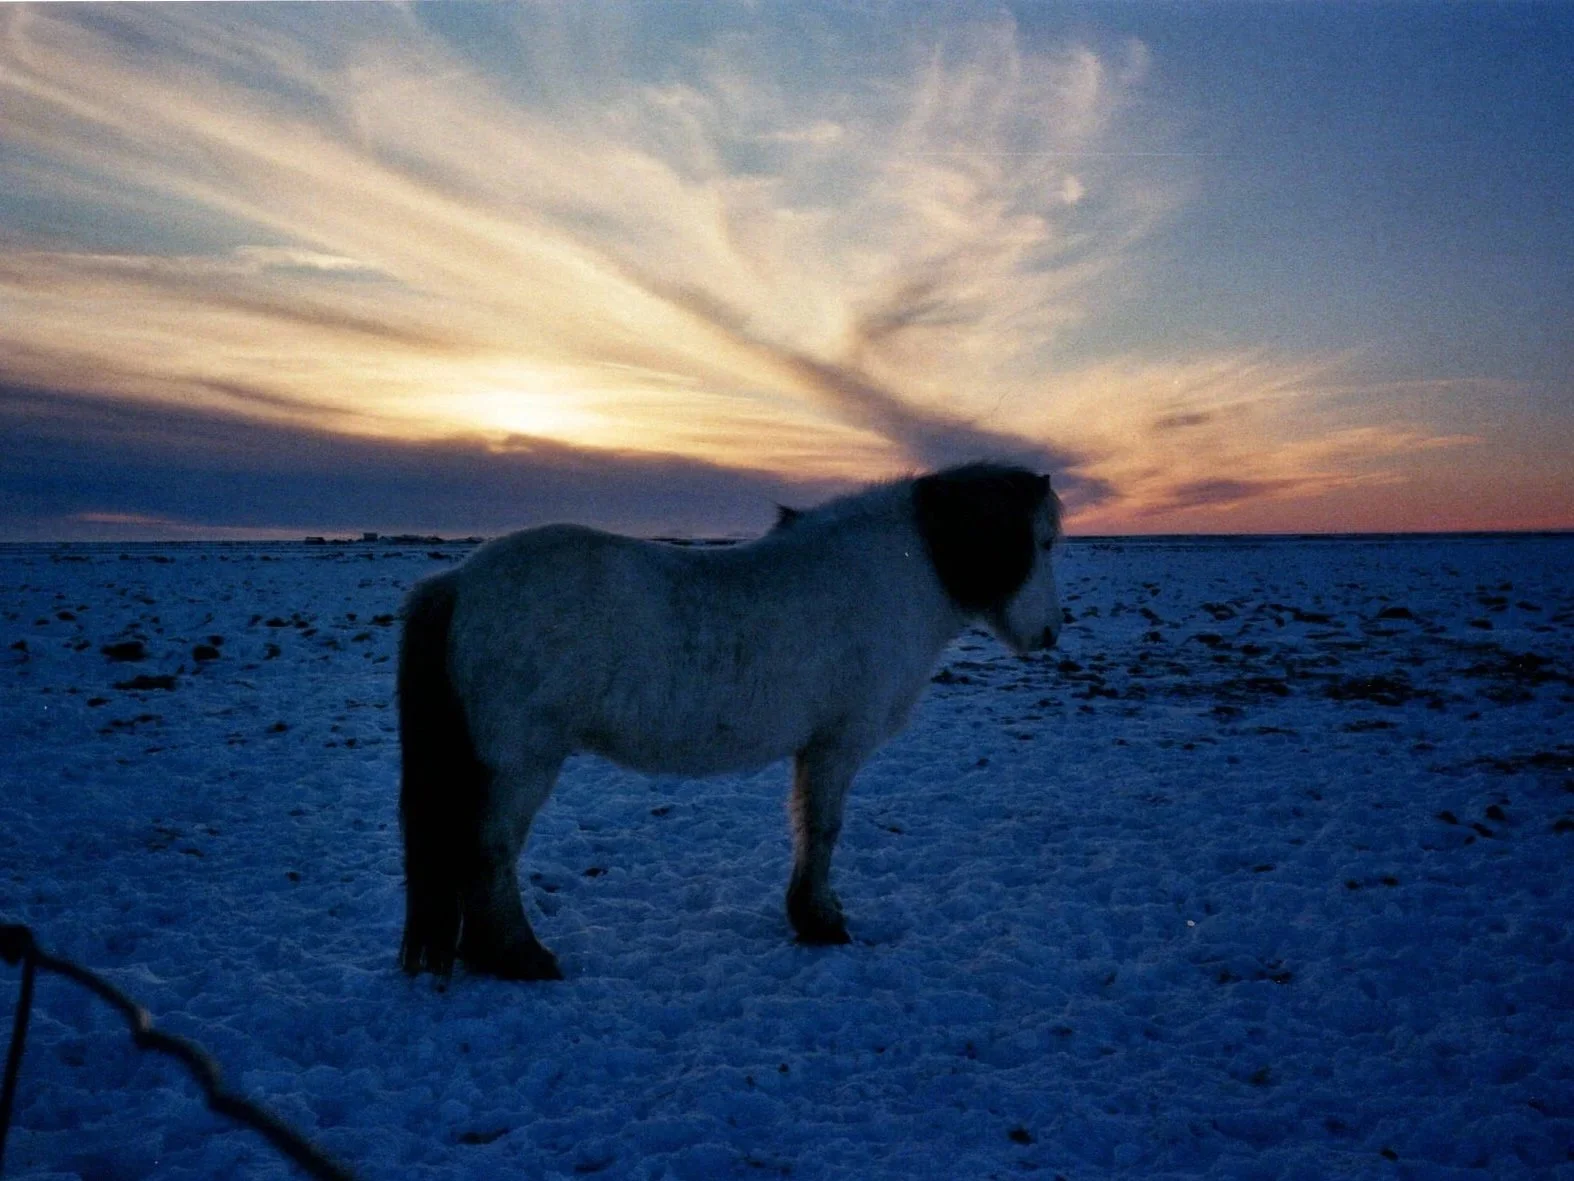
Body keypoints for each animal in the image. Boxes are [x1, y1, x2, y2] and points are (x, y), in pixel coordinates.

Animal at [397, 461, 1064, 980]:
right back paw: (520, 956)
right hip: (521, 764)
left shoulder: (815, 749)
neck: (889, 577)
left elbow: (807, 825)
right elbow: (824, 828)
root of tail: (459, 580)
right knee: (491, 851)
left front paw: (812, 914)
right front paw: (821, 921)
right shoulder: (837, 745)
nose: (1051, 634)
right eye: (1045, 542)